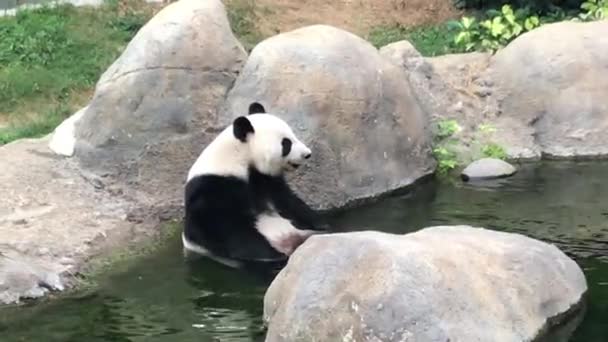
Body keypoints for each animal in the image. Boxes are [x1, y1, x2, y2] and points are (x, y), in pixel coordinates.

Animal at [183, 103, 330, 266]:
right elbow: (226, 227)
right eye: (286, 143)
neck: (238, 157)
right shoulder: (213, 187)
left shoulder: (264, 179)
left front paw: (321, 222)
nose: (307, 154)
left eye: (294, 135)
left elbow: (287, 200)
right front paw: (272, 256)